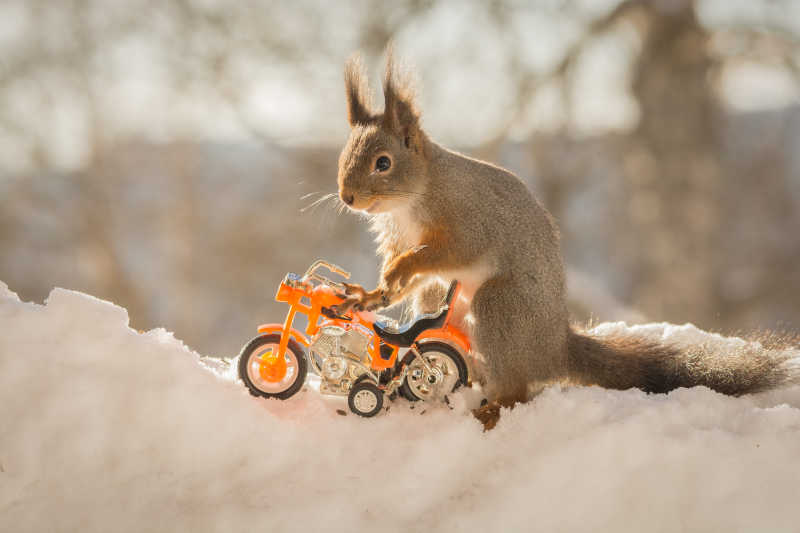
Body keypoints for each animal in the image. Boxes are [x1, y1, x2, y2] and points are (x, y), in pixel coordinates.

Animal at [332, 53, 792, 428]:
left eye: (383, 163)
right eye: (344, 156)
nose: (347, 197)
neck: (410, 201)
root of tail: (554, 347)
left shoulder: (468, 219)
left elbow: (449, 251)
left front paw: (403, 266)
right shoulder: (398, 235)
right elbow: (401, 283)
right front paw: (370, 294)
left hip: (501, 307)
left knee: (519, 389)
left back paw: (493, 407)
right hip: (447, 305)